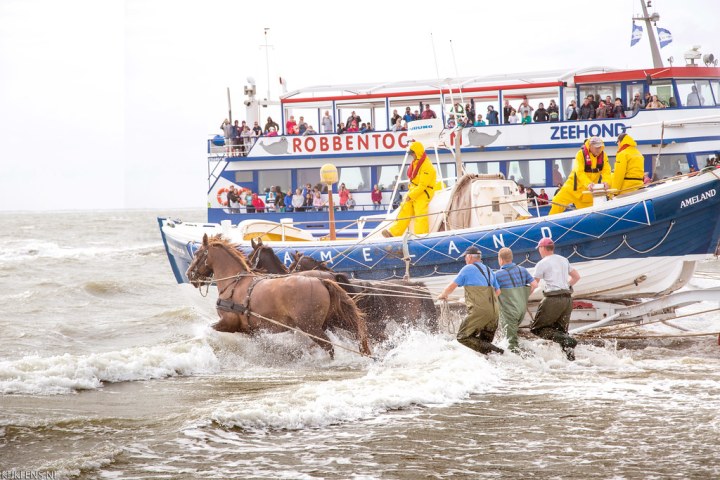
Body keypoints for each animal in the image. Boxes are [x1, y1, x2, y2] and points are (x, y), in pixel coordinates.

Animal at [186, 234, 371, 359]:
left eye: (197, 254)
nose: (189, 274)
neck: (234, 283)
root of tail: (322, 280)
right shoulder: (251, 331)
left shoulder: (228, 322)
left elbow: (208, 329)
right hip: (333, 320)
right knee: (356, 333)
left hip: (311, 326)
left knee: (328, 346)